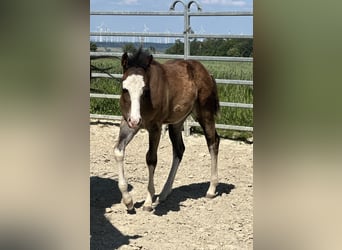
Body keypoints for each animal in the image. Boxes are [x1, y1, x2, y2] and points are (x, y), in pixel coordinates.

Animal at [113, 47, 220, 212]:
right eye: (124, 89)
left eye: (145, 89)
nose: (136, 120)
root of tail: (207, 73)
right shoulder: (127, 123)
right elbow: (118, 151)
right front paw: (128, 201)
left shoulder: (155, 127)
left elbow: (151, 158)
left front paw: (148, 202)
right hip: (176, 122)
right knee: (179, 149)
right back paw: (164, 193)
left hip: (205, 113)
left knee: (213, 142)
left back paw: (211, 189)